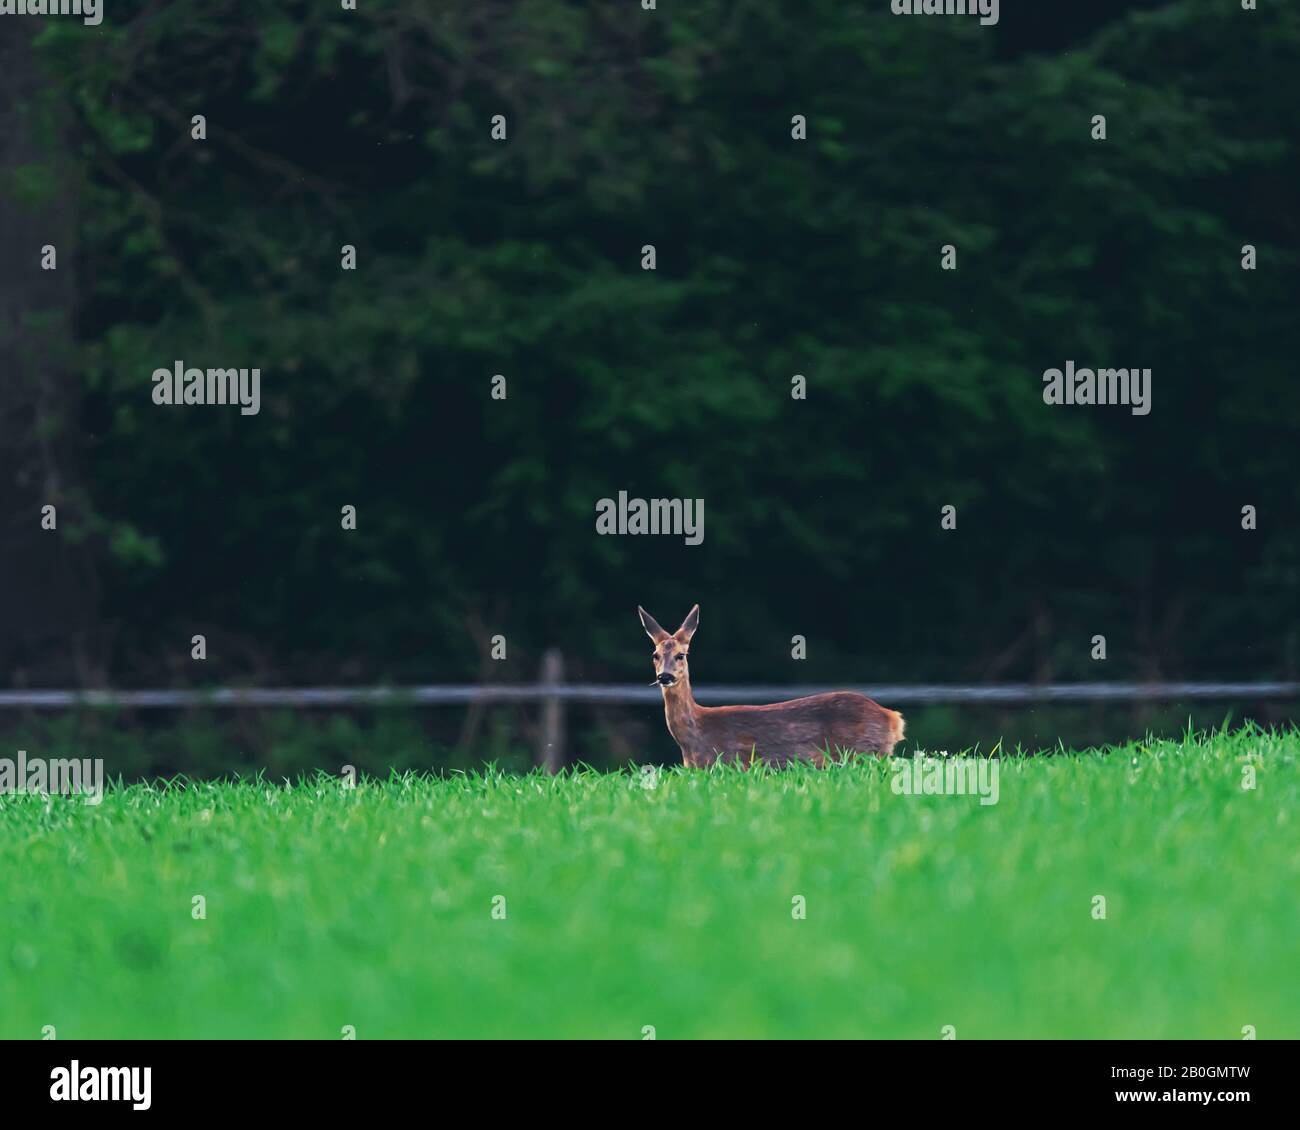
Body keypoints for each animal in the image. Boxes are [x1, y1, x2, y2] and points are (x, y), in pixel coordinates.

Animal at [638, 604, 905, 768]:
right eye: (655, 655)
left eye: (681, 655)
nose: (664, 676)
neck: (694, 738)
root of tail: (892, 718)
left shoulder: (726, 763)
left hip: (863, 752)